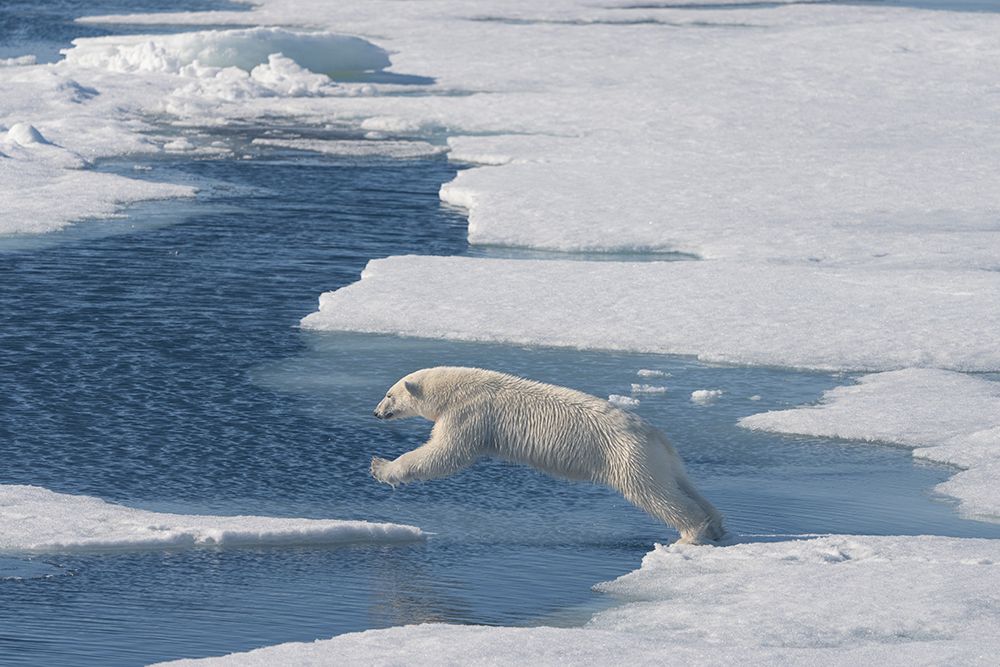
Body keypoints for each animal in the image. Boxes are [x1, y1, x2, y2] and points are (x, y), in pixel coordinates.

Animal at [370, 366, 725, 544]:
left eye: (389, 394)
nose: (375, 413)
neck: (455, 387)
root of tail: (654, 434)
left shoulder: (470, 414)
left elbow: (445, 453)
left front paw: (381, 467)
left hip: (626, 455)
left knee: (655, 494)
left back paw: (692, 533)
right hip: (664, 460)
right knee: (682, 485)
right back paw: (717, 526)